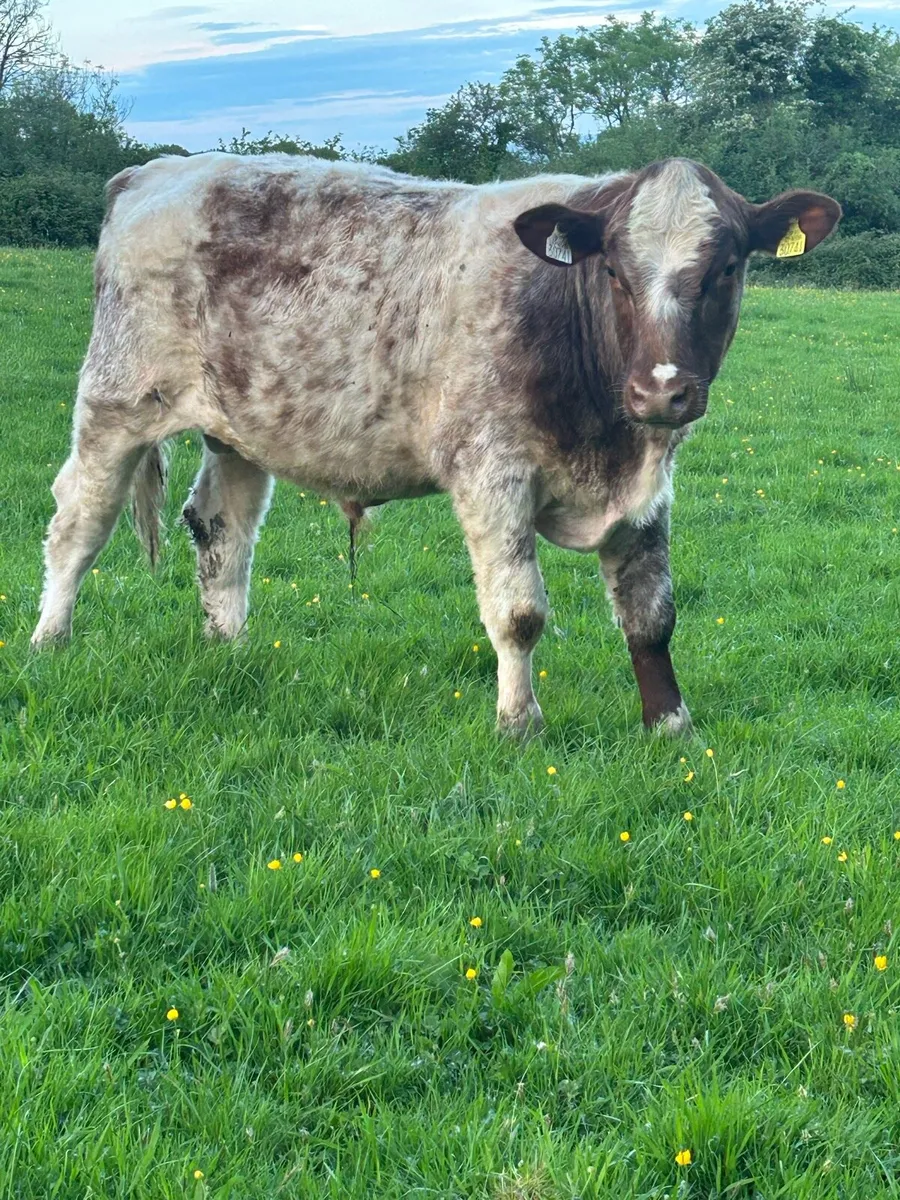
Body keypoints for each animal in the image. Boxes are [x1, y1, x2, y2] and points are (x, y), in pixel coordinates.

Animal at [31, 154, 840, 737]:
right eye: (613, 269)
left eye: (726, 268)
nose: (661, 392)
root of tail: (156, 170)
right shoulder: (491, 473)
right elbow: (519, 612)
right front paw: (519, 725)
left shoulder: (647, 488)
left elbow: (651, 612)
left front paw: (671, 727)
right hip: (116, 402)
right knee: (78, 525)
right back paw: (49, 642)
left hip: (237, 430)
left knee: (221, 530)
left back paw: (228, 651)